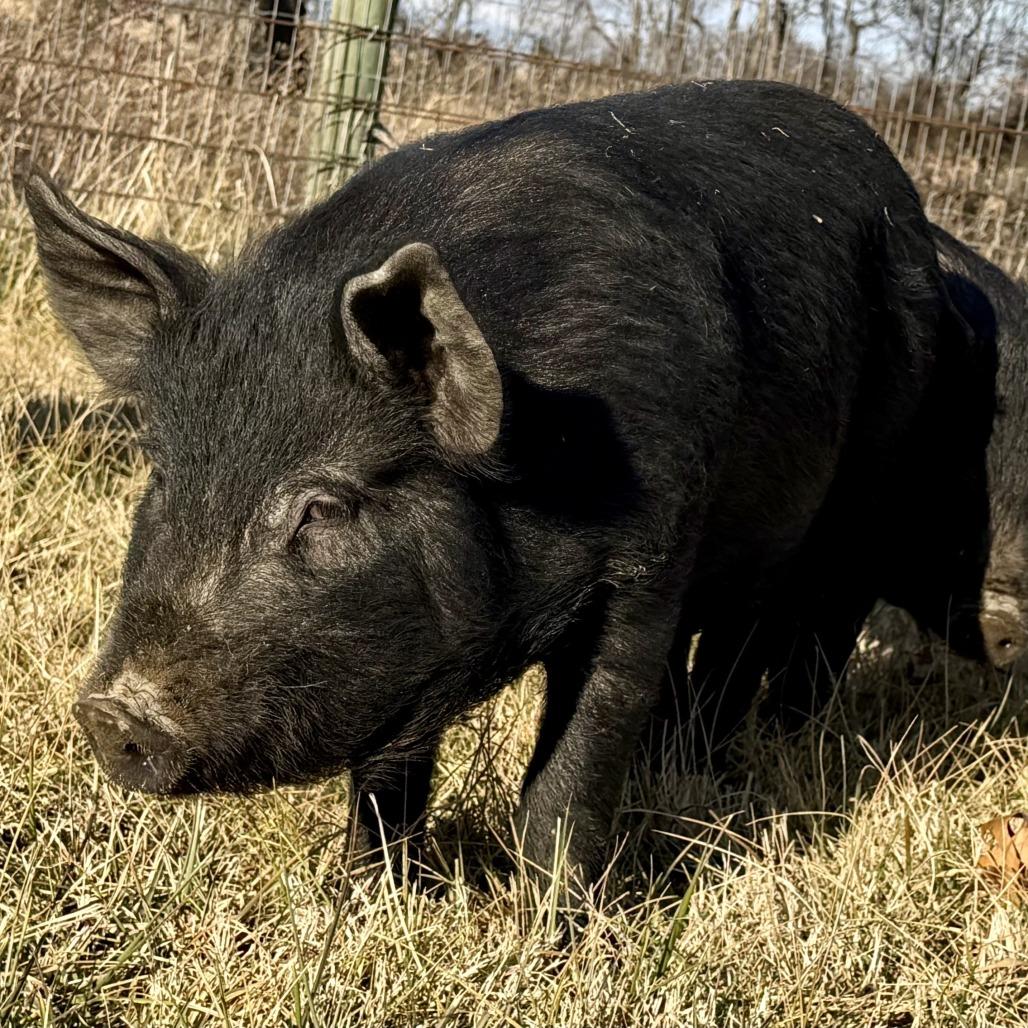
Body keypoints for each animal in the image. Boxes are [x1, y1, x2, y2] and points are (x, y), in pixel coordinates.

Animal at [25, 80, 990, 891]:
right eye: (162, 470)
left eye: (326, 505)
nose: (112, 712)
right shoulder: (398, 649)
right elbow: (388, 768)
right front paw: (368, 897)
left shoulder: (652, 554)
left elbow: (579, 754)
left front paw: (556, 932)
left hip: (865, 480)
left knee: (782, 626)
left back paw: (738, 768)